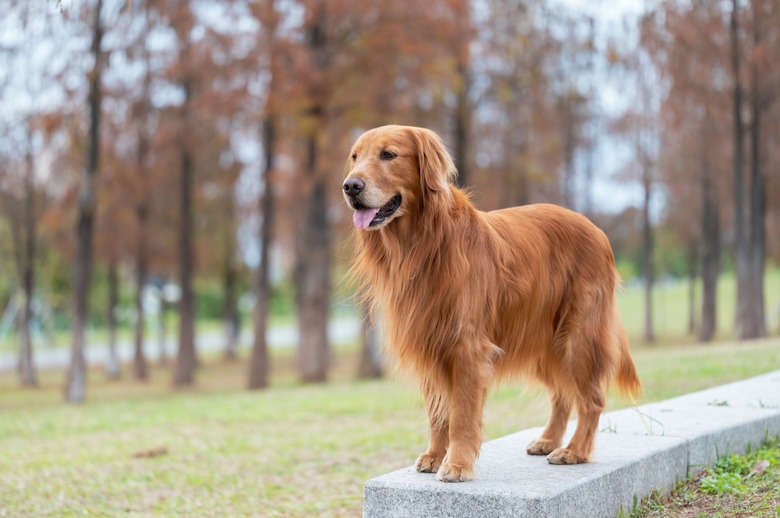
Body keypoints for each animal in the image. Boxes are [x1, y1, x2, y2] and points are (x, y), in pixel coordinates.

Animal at [342, 125, 640, 484]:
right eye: (354, 157)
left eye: (388, 154)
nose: (350, 186)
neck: (423, 245)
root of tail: (597, 230)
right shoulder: (428, 340)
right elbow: (438, 412)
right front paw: (434, 455)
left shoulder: (467, 347)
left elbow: (461, 414)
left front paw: (457, 464)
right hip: (545, 342)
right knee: (562, 394)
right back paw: (548, 440)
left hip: (577, 337)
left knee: (592, 399)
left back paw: (575, 451)